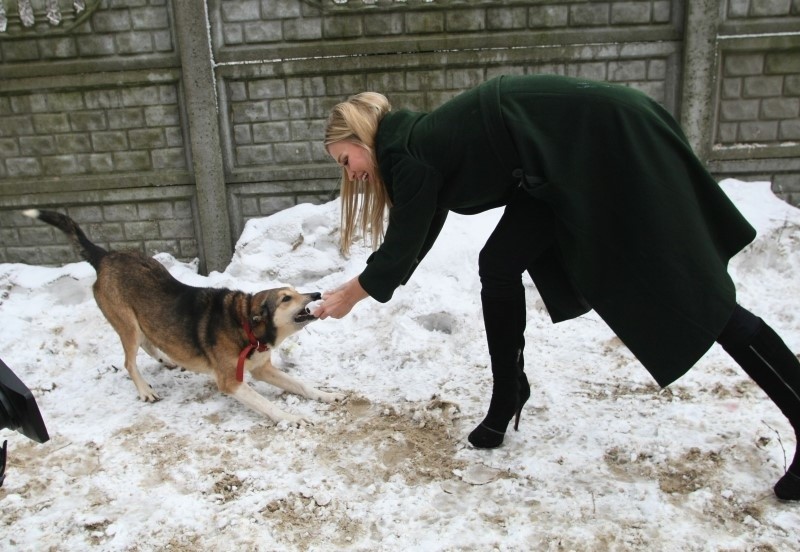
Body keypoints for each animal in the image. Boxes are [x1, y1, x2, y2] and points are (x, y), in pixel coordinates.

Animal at [23, 209, 342, 424]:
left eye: (296, 291)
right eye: (286, 298)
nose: (316, 294)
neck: (246, 326)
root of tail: (104, 256)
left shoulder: (262, 369)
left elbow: (301, 385)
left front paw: (326, 395)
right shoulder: (231, 382)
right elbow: (266, 404)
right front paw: (290, 417)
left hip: (142, 320)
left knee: (148, 342)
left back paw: (166, 360)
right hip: (127, 325)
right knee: (129, 360)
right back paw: (145, 390)